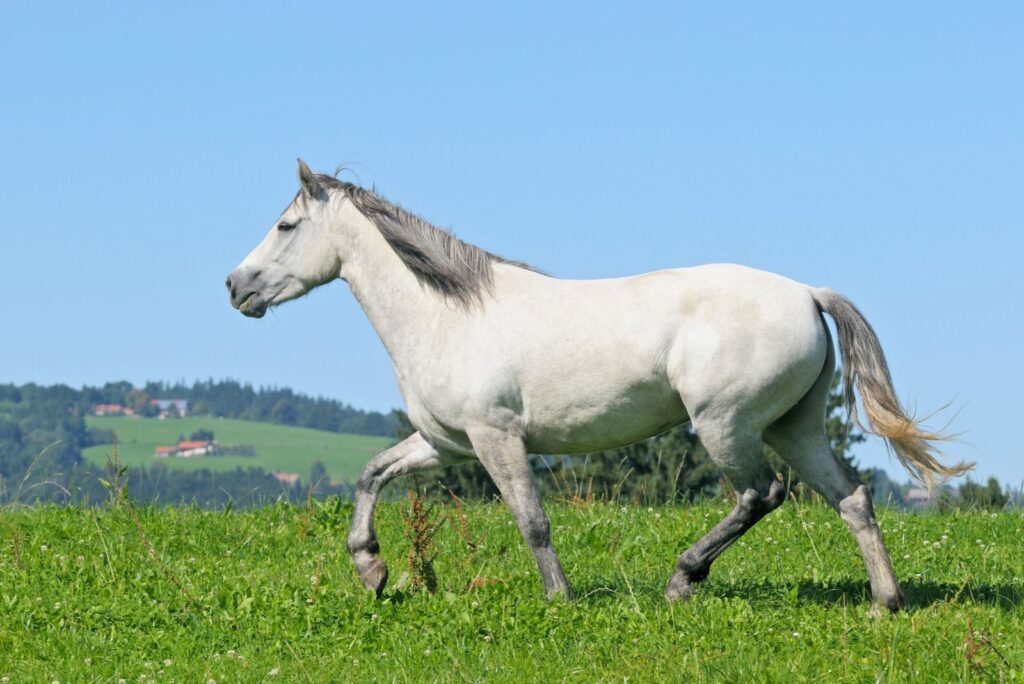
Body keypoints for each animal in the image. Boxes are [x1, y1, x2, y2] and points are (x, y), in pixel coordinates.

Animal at [224, 158, 966, 610]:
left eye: (286, 225)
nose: (236, 286)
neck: (448, 316)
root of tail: (809, 294)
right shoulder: (447, 444)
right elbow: (372, 474)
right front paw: (372, 570)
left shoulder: (497, 438)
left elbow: (531, 520)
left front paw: (559, 599)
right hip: (795, 425)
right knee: (852, 499)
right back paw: (884, 603)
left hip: (726, 425)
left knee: (763, 494)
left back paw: (682, 580)